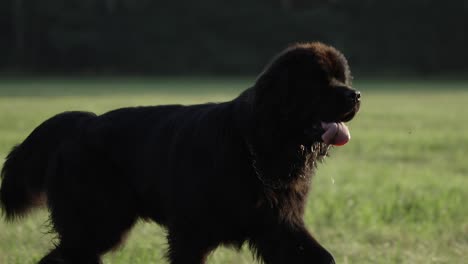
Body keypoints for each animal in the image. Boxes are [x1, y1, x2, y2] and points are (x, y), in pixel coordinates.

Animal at [0, 42, 362, 262]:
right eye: (319, 80)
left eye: (342, 77)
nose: (356, 95)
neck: (257, 144)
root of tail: (82, 122)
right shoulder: (191, 232)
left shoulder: (279, 225)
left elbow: (323, 256)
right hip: (97, 222)